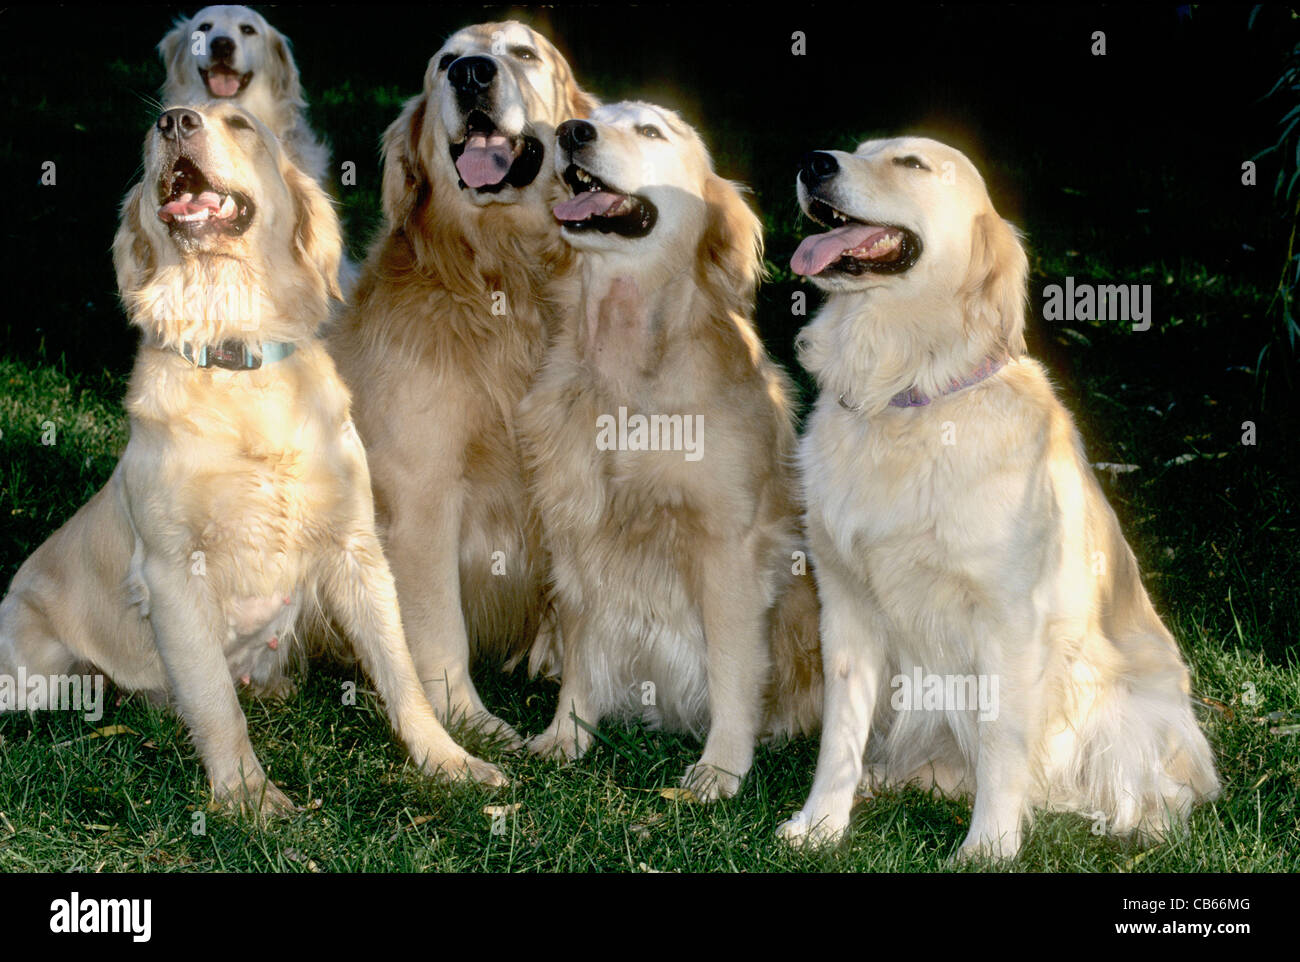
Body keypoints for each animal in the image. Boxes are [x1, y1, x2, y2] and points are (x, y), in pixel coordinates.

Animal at [0, 103, 504, 811]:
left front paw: (448, 761)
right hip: (38, 666)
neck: (234, 356)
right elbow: (215, 702)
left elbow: (401, 672)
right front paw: (248, 799)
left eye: (240, 123)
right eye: (154, 129)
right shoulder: (173, 572)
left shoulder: (357, 549)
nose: (172, 121)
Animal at [332, 20, 600, 743]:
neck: (500, 279)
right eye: (444, 61)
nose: (472, 73)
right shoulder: (423, 492)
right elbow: (438, 628)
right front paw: (466, 720)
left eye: (525, 52)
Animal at [517, 101, 821, 800]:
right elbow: (582, 653)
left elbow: (734, 673)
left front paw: (721, 768)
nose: (570, 131)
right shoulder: (578, 532)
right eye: (592, 115)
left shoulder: (729, 549)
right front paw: (568, 735)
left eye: (652, 131)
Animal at [780, 133, 1216, 857]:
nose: (813, 162)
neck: (906, 391)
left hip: (1125, 706)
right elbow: (839, 736)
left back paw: (1138, 820)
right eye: (860, 148)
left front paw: (989, 846)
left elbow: (1001, 739)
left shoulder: (1009, 621)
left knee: (1165, 782)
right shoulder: (846, 607)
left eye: (911, 163)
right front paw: (820, 824)